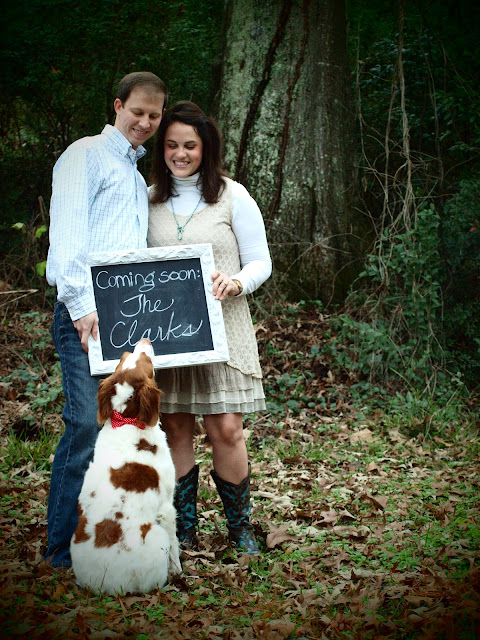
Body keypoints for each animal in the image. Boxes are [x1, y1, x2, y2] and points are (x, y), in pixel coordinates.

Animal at [70, 338, 181, 594]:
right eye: (147, 362)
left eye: (122, 358)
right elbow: (176, 545)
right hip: (157, 537)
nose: (145, 339)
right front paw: (180, 571)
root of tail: (107, 587)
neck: (127, 420)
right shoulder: (167, 505)